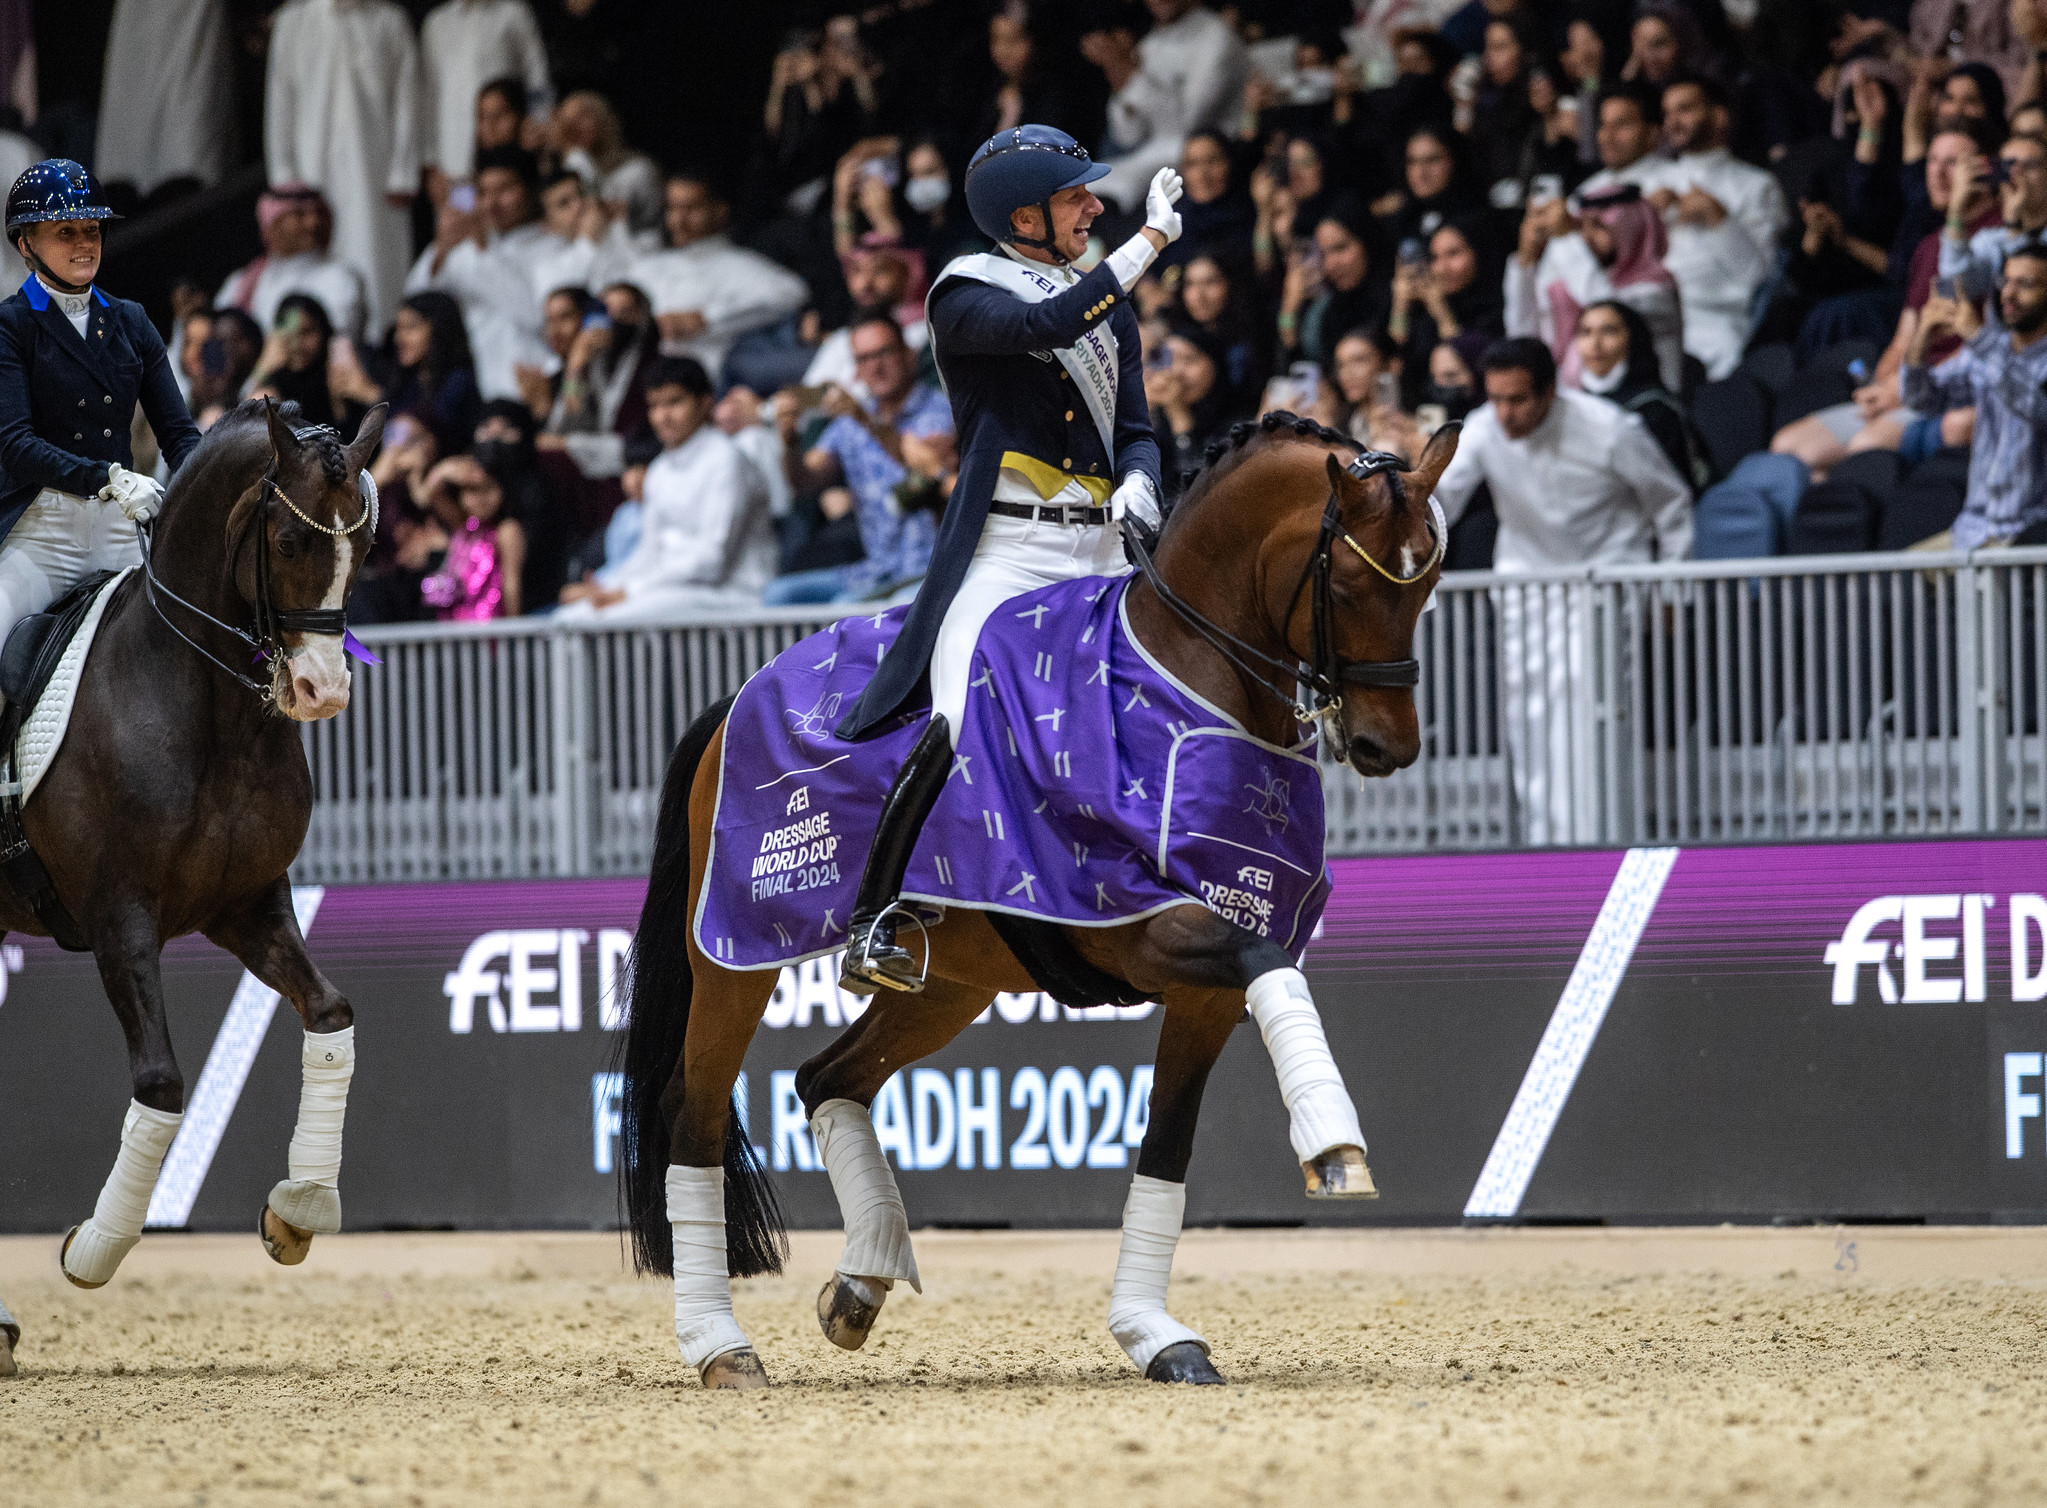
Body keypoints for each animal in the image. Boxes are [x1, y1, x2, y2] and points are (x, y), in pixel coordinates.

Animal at [0, 396, 384, 1309]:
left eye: (364, 547)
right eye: (289, 544)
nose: (322, 691)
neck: (204, 707)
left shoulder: (248, 904)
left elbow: (330, 1014)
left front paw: (300, 1207)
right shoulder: (119, 920)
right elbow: (163, 1085)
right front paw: (94, 1247)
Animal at [614, 411, 1465, 1391]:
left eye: (1427, 580)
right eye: (1355, 580)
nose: (1386, 746)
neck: (1181, 687)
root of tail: (735, 698)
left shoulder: (1207, 989)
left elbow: (1167, 1142)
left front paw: (1155, 1334)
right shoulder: (1140, 923)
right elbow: (1266, 971)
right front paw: (1334, 1148)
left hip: (949, 984)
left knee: (827, 1077)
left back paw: (861, 1279)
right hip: (734, 950)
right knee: (694, 1112)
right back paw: (722, 1346)